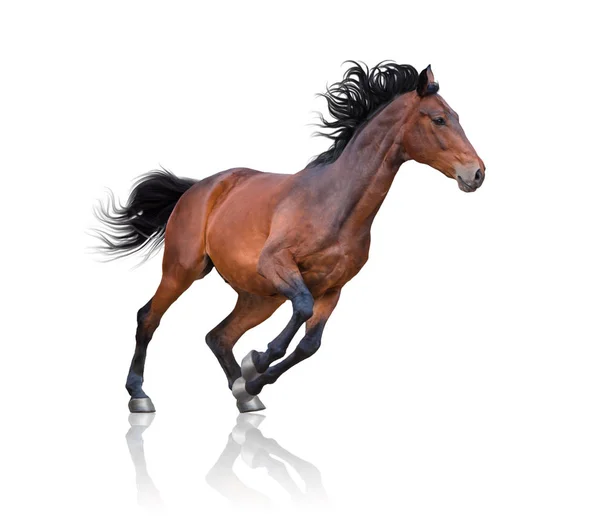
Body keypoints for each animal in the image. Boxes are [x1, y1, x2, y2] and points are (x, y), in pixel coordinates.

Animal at [95, 62, 488, 416]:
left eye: (456, 116)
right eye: (439, 119)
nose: (477, 173)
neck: (335, 204)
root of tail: (198, 188)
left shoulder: (333, 289)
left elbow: (310, 344)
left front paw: (253, 379)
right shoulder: (278, 264)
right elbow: (301, 307)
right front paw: (258, 359)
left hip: (259, 297)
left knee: (218, 336)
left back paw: (244, 395)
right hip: (183, 270)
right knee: (148, 318)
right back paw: (139, 395)